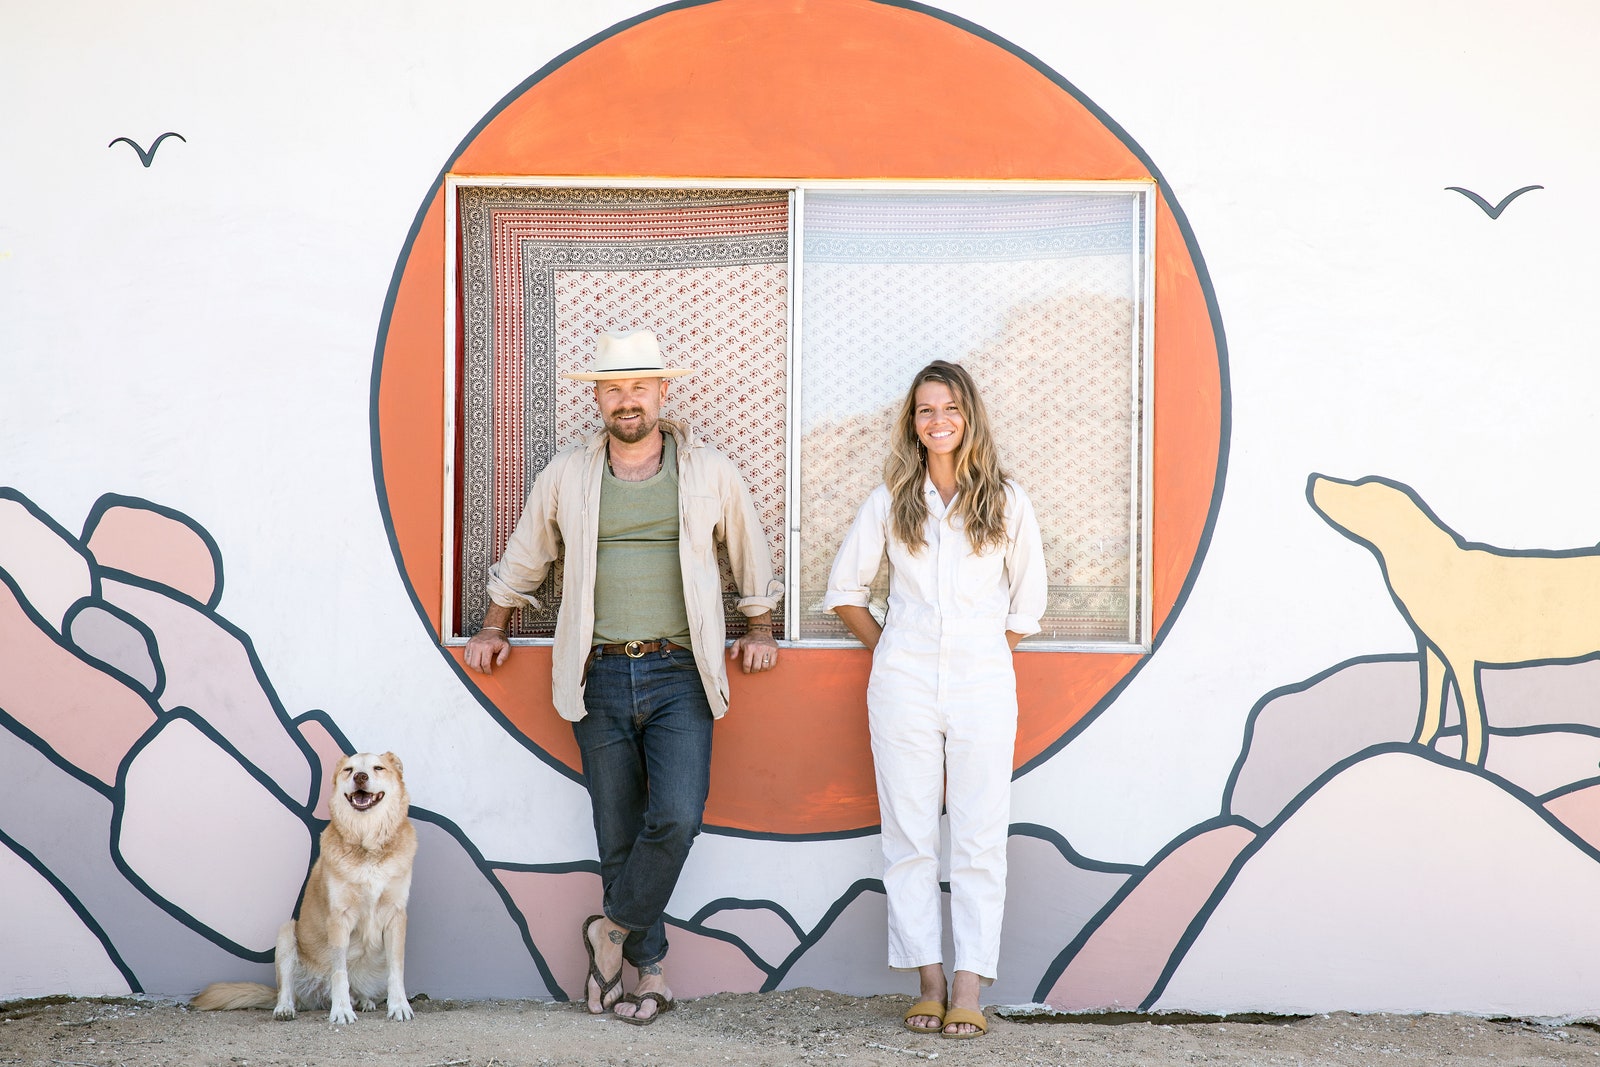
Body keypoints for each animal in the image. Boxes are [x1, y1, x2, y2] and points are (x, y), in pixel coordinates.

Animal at [191, 751, 419, 1023]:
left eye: (378, 768)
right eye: (349, 770)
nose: (360, 777)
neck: (366, 845)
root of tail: (316, 995)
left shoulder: (396, 916)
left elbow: (397, 970)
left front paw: (399, 1006)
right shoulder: (338, 918)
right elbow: (339, 972)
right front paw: (341, 1010)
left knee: (361, 988)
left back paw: (364, 1001)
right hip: (287, 934)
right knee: (287, 989)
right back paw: (286, 1008)